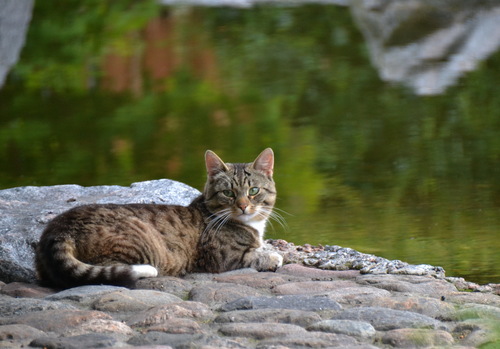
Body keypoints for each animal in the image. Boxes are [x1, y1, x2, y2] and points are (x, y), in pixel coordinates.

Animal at [34, 148, 286, 286]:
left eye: (253, 191)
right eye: (228, 193)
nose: (243, 206)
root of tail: (59, 227)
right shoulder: (221, 258)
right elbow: (253, 256)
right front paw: (272, 256)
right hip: (136, 240)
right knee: (108, 270)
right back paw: (146, 270)